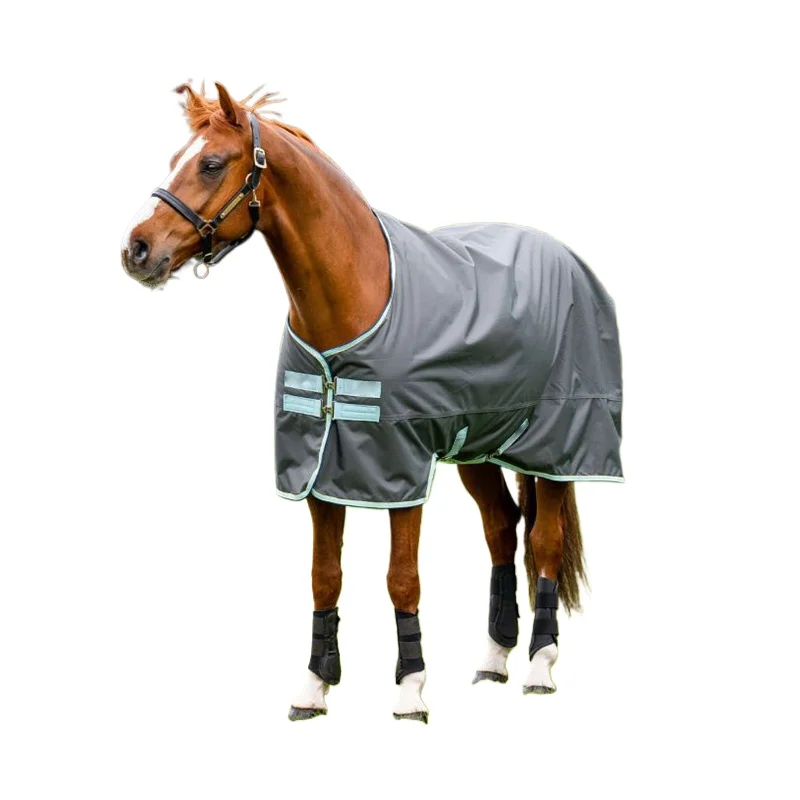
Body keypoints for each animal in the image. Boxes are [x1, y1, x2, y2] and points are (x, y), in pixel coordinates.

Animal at [120, 82, 624, 723]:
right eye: (174, 159)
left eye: (211, 163)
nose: (136, 250)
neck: (355, 295)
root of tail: (564, 255)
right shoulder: (319, 473)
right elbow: (324, 576)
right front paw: (314, 686)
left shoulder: (400, 470)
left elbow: (402, 578)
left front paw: (411, 690)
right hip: (478, 449)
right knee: (502, 530)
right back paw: (493, 659)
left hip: (558, 446)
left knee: (545, 541)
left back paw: (539, 666)